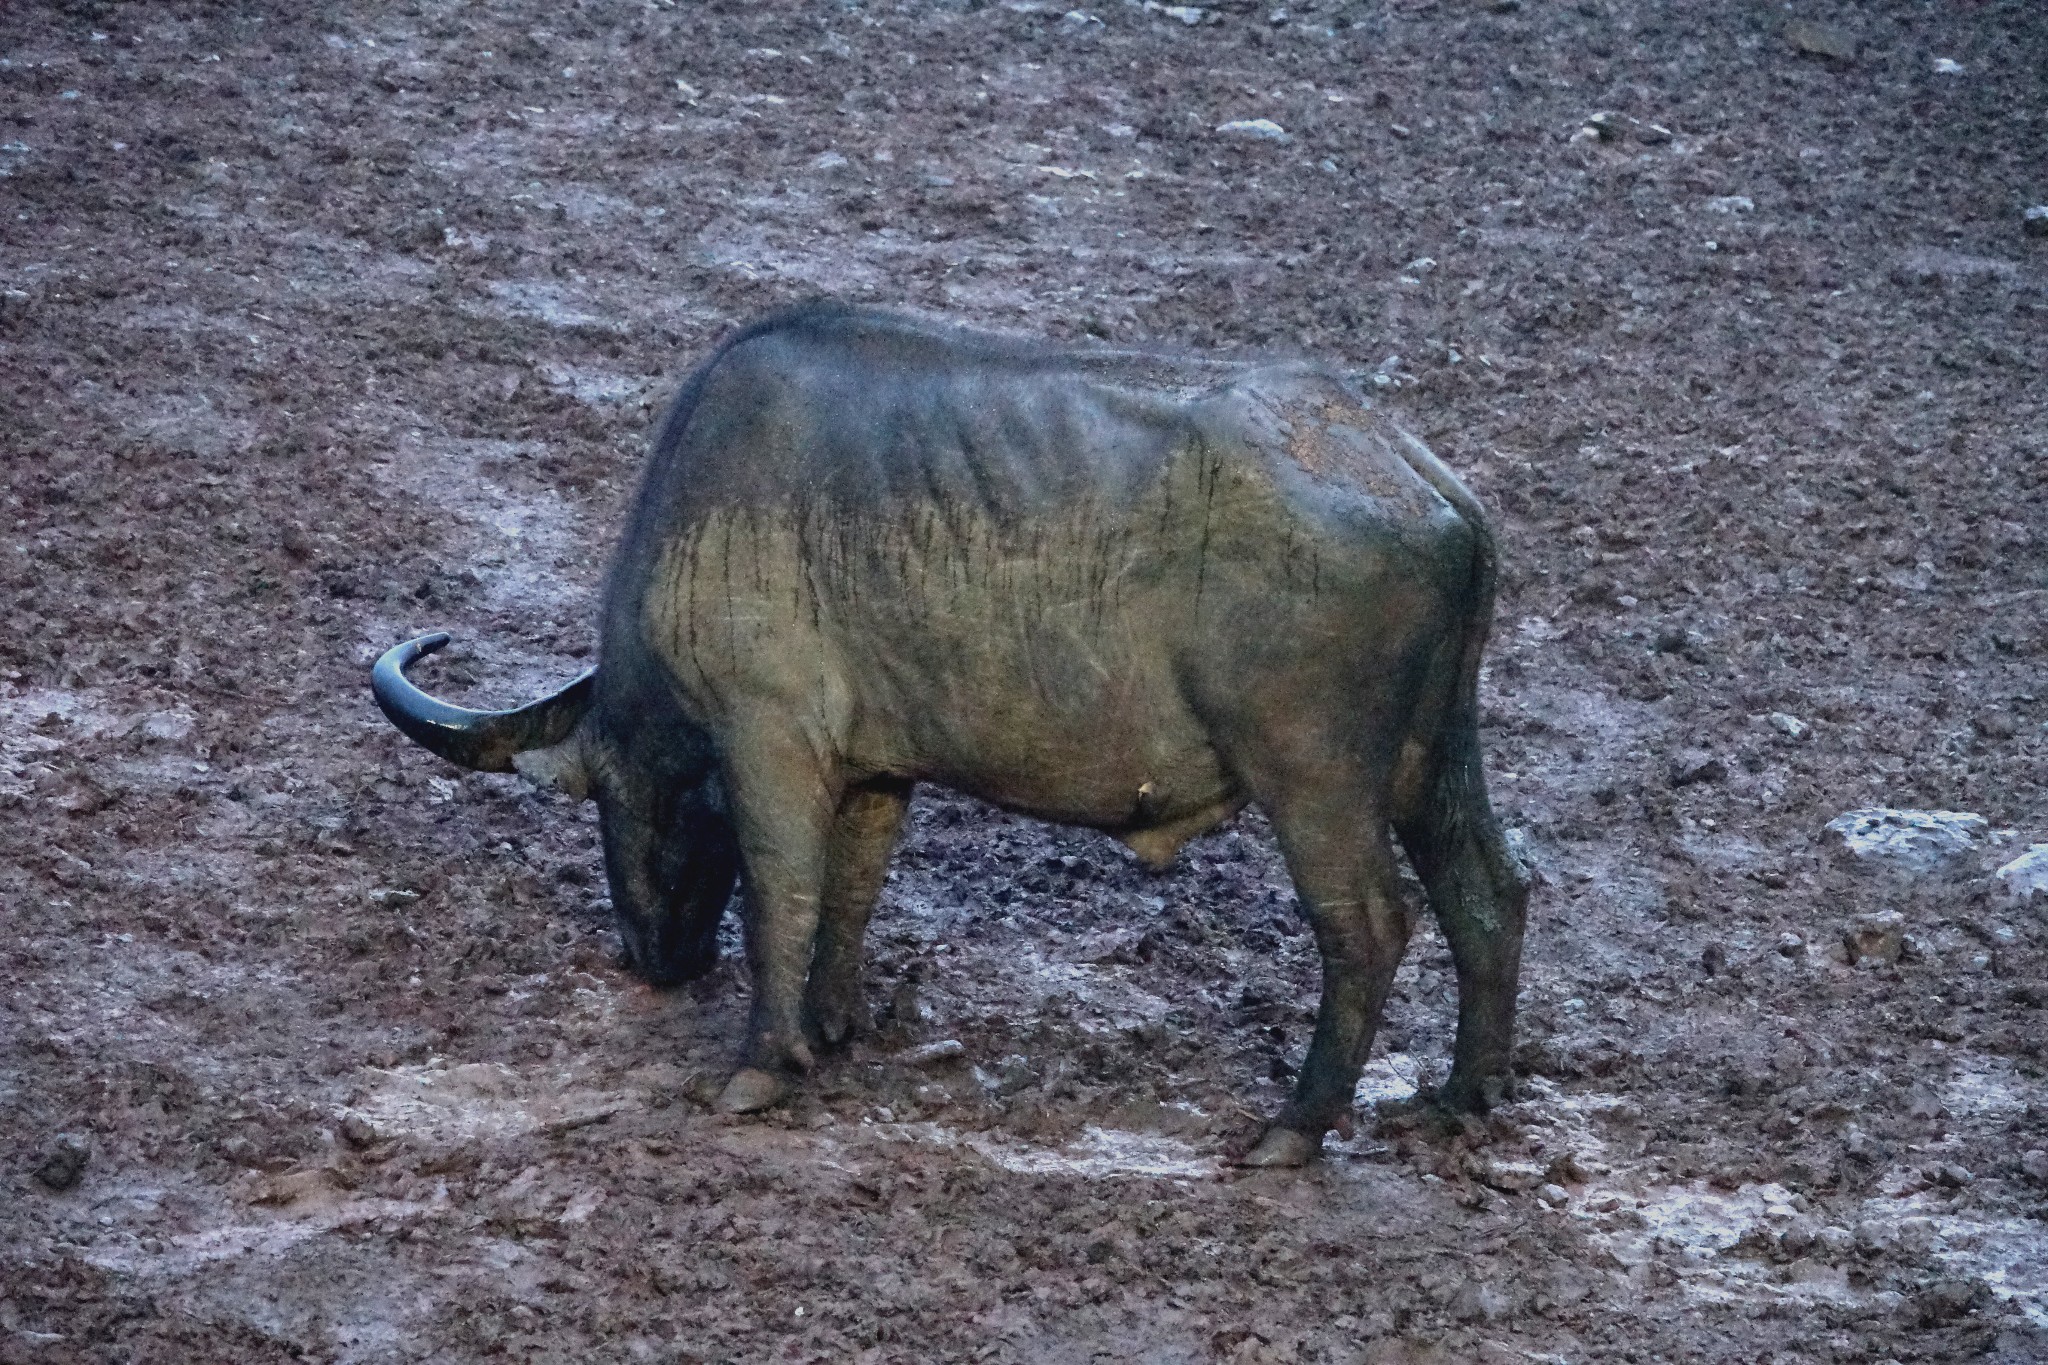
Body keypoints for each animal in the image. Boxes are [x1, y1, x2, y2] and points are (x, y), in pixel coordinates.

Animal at [368, 306, 1531, 1162]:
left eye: (613, 800)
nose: (656, 961)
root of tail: (1415, 476)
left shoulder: (768, 743)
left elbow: (782, 896)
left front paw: (760, 1065)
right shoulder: (877, 769)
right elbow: (850, 892)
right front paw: (830, 1032)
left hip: (1313, 775)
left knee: (1368, 927)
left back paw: (1292, 1129)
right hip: (1430, 758)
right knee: (1489, 890)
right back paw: (1460, 1095)